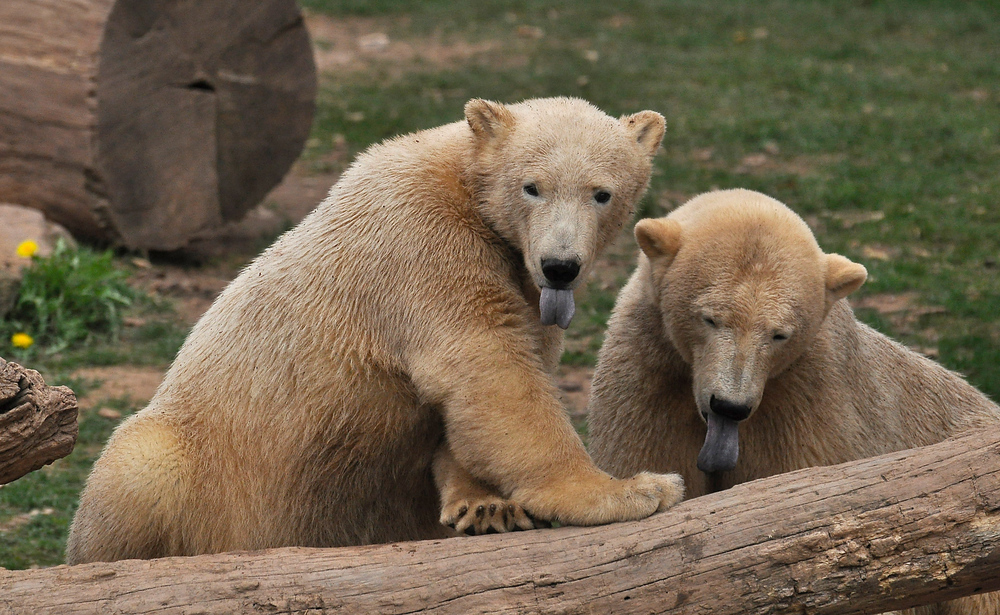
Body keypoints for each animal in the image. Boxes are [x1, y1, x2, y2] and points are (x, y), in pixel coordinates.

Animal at [64, 96, 688, 564]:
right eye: (532, 186)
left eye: (602, 193)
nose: (561, 265)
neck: (462, 179)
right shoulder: (424, 245)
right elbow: (489, 371)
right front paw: (635, 489)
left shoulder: (523, 281)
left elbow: (483, 388)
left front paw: (485, 506)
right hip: (199, 463)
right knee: (139, 471)